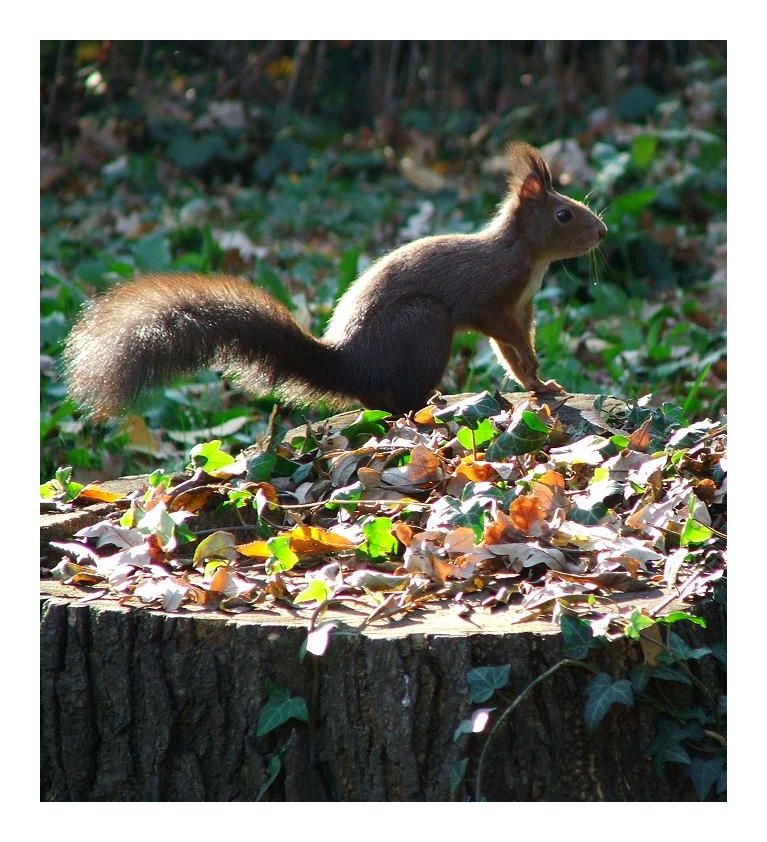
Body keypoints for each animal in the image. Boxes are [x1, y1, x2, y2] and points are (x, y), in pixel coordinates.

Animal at [64, 142, 606, 418]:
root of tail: (351, 365)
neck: (529, 258)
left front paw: (541, 384)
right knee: (391, 401)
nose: (601, 232)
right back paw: (427, 401)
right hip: (424, 323)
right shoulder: (494, 299)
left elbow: (512, 355)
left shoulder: (522, 307)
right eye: (563, 214)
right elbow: (509, 339)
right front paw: (537, 371)